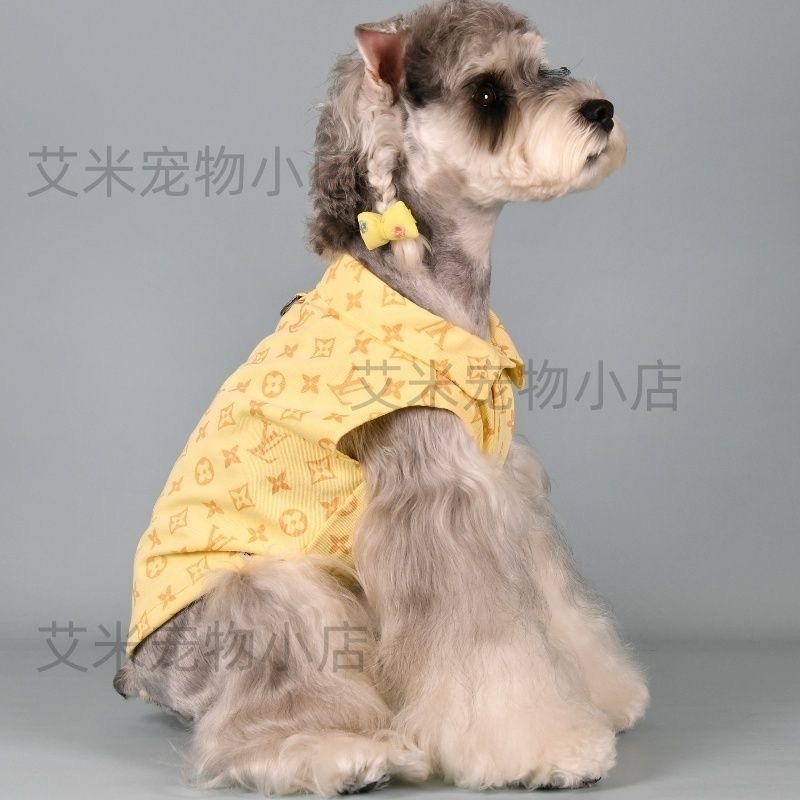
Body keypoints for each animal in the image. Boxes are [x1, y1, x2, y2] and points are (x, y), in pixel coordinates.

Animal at [113, 0, 649, 794]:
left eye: (543, 63)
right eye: (488, 91)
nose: (601, 109)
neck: (430, 285)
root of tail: (136, 675)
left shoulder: (508, 486)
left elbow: (555, 606)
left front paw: (604, 692)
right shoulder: (438, 500)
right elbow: (487, 644)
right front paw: (544, 748)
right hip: (273, 592)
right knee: (266, 711)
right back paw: (345, 755)